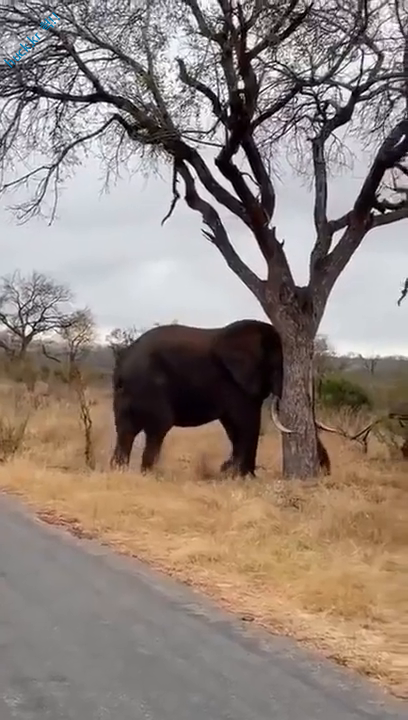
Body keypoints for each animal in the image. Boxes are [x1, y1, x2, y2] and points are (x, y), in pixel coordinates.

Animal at [110, 320, 334, 478]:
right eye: (279, 368)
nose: (324, 473)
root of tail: (122, 366)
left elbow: (235, 427)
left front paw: (231, 471)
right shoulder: (234, 383)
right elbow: (247, 423)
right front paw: (244, 476)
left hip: (125, 396)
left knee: (125, 431)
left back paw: (119, 470)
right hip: (149, 386)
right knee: (158, 428)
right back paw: (150, 475)